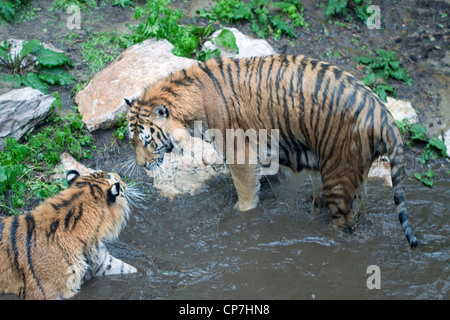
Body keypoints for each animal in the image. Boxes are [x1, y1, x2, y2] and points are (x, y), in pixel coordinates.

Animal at [124, 53, 418, 248]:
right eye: (132, 139)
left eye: (147, 140)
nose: (140, 165)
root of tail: (384, 115)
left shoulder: (239, 152)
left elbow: (245, 193)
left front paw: (241, 214)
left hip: (339, 172)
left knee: (344, 222)